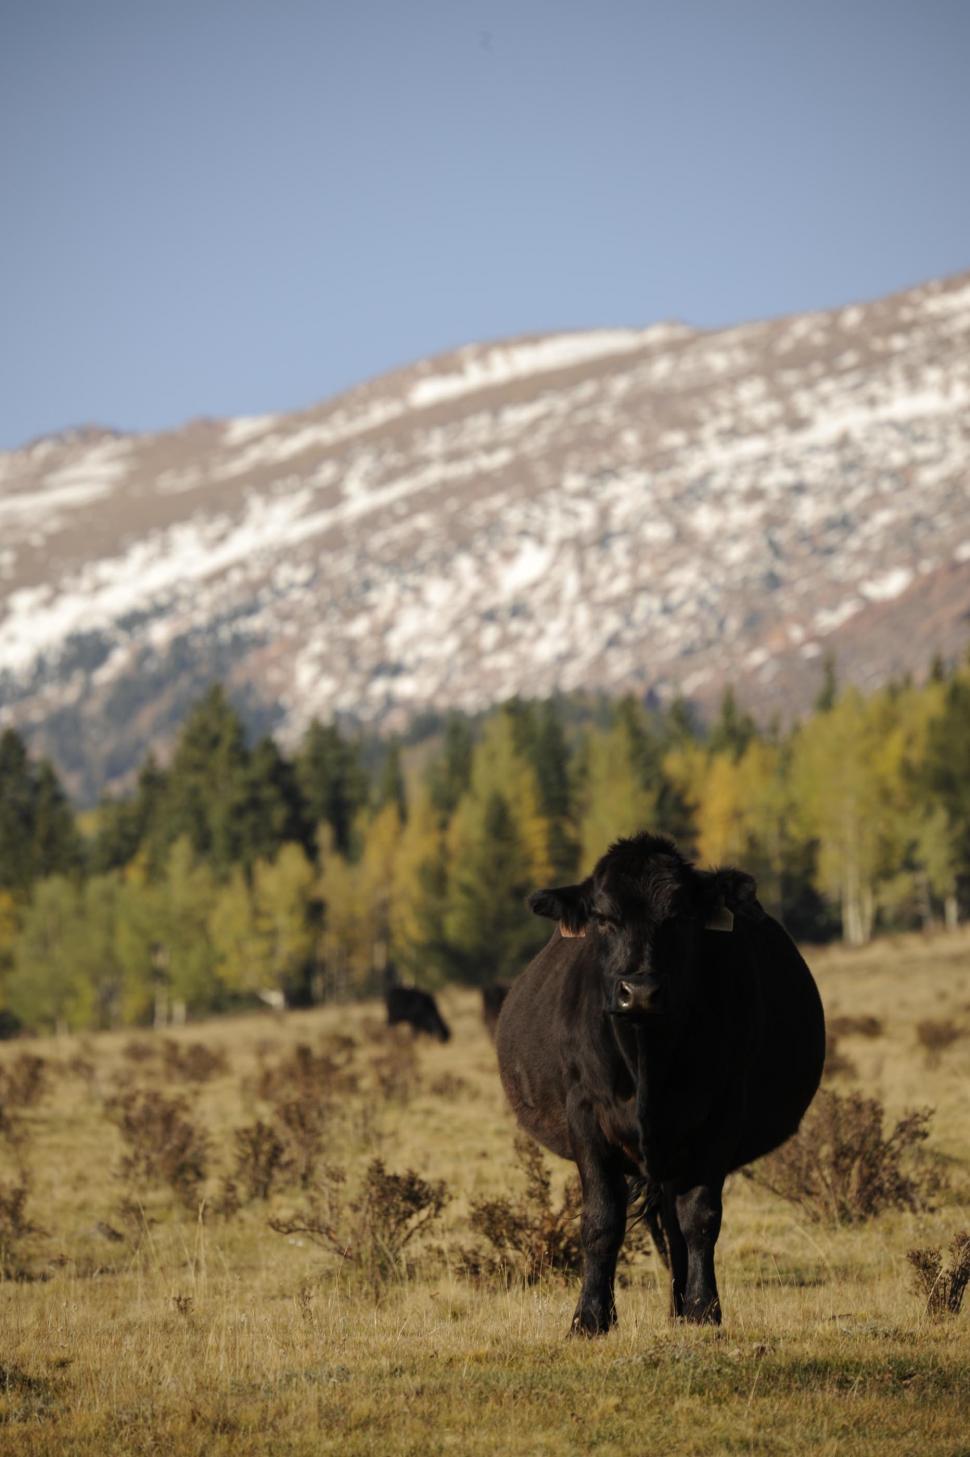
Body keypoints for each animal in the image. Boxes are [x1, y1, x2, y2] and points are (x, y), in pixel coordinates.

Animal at [496, 832, 825, 1334]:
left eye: (680, 917)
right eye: (603, 918)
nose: (640, 992)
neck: (646, 1058)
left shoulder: (720, 1115)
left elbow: (700, 1218)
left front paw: (704, 1309)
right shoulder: (585, 1116)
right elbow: (601, 1220)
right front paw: (590, 1317)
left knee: (674, 1225)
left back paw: (679, 1307)